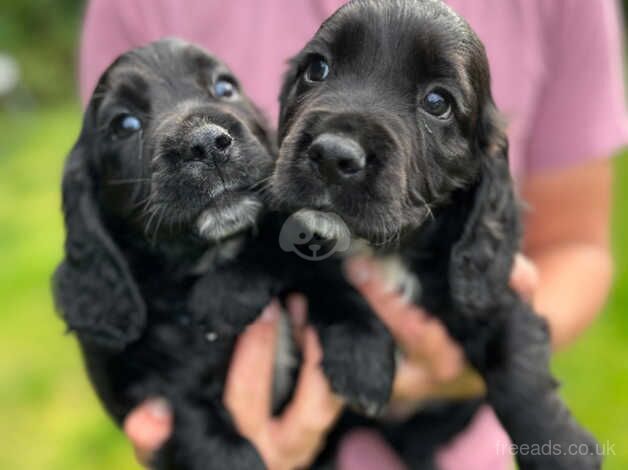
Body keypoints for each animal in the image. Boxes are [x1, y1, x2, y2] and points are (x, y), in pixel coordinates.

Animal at [55, 37, 398, 470]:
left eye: (224, 88)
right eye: (124, 124)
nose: (206, 144)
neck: (208, 258)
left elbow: (320, 277)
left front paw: (361, 354)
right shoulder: (149, 393)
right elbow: (207, 436)